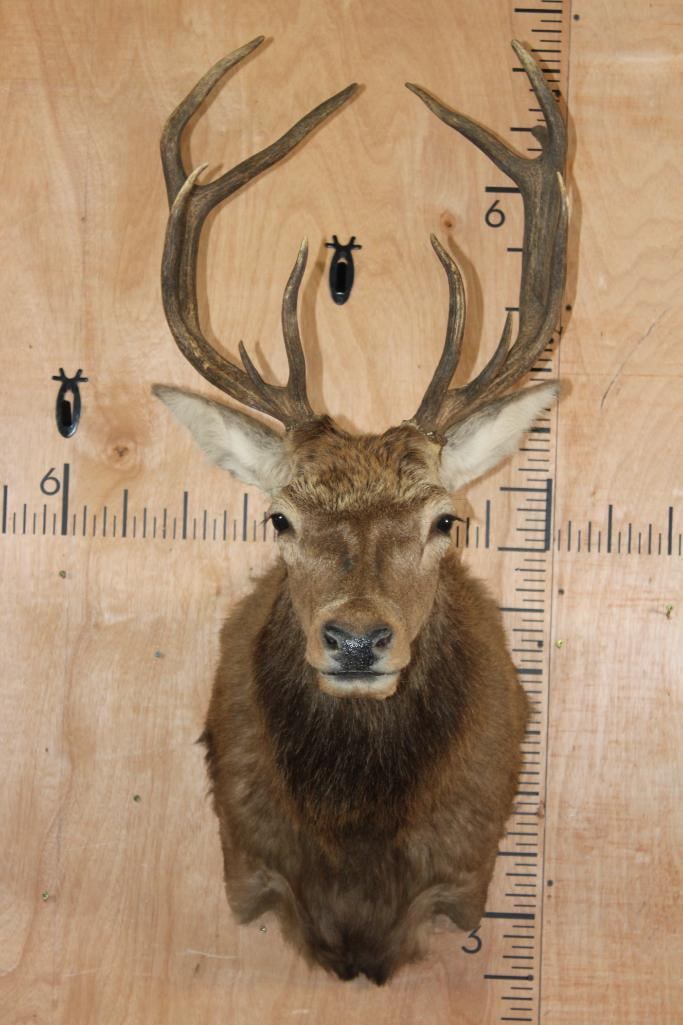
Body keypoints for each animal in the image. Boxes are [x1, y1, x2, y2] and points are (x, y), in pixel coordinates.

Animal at [153, 37, 567, 985]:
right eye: (278, 518)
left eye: (444, 520)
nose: (355, 638)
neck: (354, 847)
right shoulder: (248, 864)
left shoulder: (463, 873)